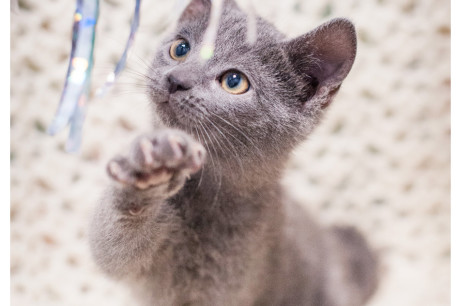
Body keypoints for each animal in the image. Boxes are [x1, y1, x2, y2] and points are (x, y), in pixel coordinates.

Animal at [89, 1, 378, 304]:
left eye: (234, 81)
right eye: (180, 48)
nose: (176, 79)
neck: (205, 195)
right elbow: (111, 245)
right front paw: (149, 166)